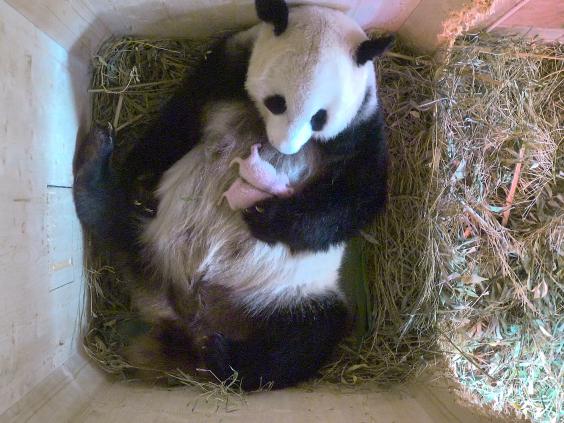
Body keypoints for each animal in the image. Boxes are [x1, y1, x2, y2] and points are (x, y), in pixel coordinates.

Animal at [74, 0, 392, 390]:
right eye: (277, 102)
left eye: (320, 117)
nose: (283, 148)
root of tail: (185, 316)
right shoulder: (226, 67)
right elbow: (179, 119)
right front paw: (142, 178)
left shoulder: (361, 129)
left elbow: (357, 196)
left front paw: (265, 218)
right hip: (155, 231)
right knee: (116, 218)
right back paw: (97, 166)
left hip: (290, 295)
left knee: (302, 342)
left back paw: (225, 358)